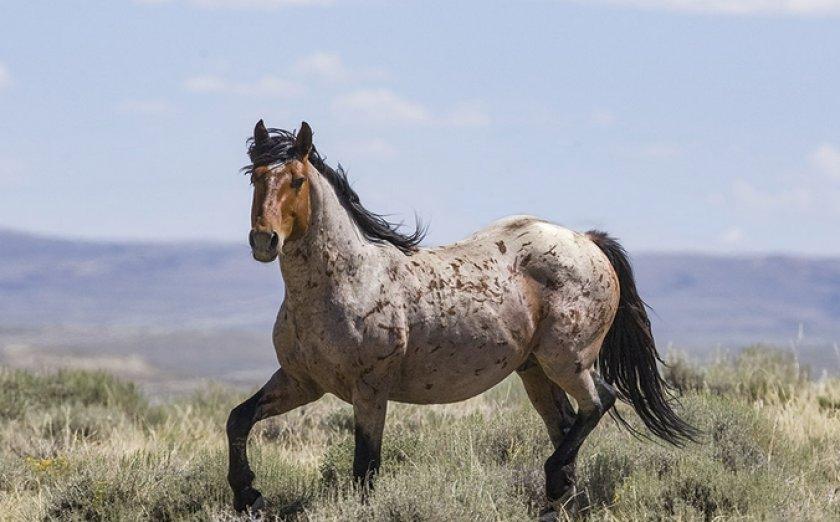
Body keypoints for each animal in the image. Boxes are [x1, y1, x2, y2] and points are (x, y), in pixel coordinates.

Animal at [225, 120, 696, 512]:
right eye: (255, 176)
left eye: (297, 180)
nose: (264, 241)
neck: (347, 280)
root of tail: (588, 241)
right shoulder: (301, 382)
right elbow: (239, 419)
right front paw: (248, 494)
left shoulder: (371, 389)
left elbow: (365, 467)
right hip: (535, 371)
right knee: (567, 422)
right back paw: (559, 498)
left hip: (567, 361)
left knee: (599, 401)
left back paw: (553, 481)